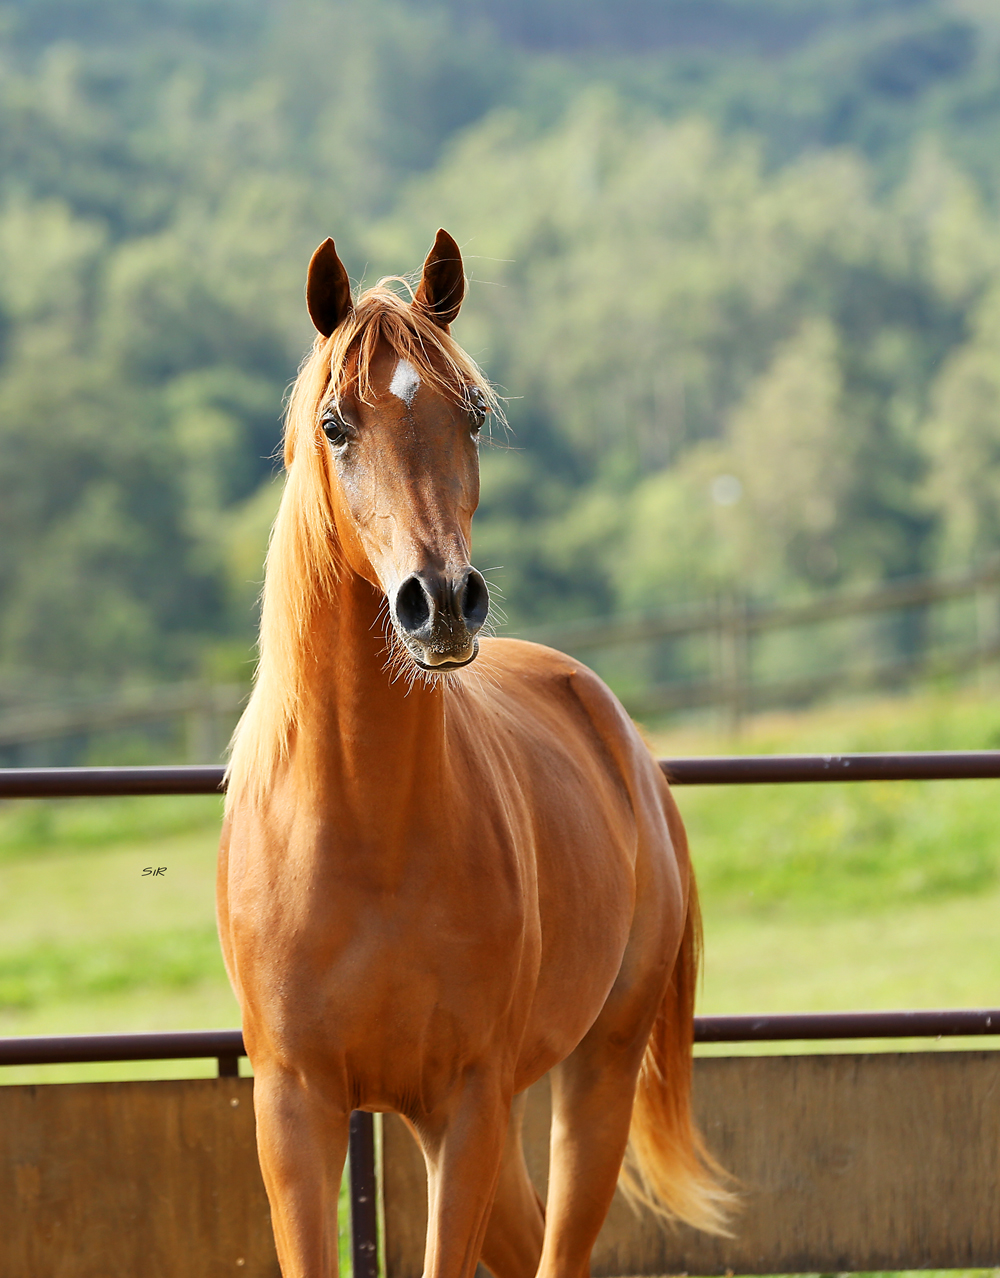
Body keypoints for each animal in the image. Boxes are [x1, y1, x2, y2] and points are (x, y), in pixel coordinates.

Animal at [218, 229, 732, 1278]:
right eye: (335, 425)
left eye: (476, 413)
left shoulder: (466, 1103)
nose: (444, 601)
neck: (359, 826)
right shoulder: (293, 1111)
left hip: (595, 1076)